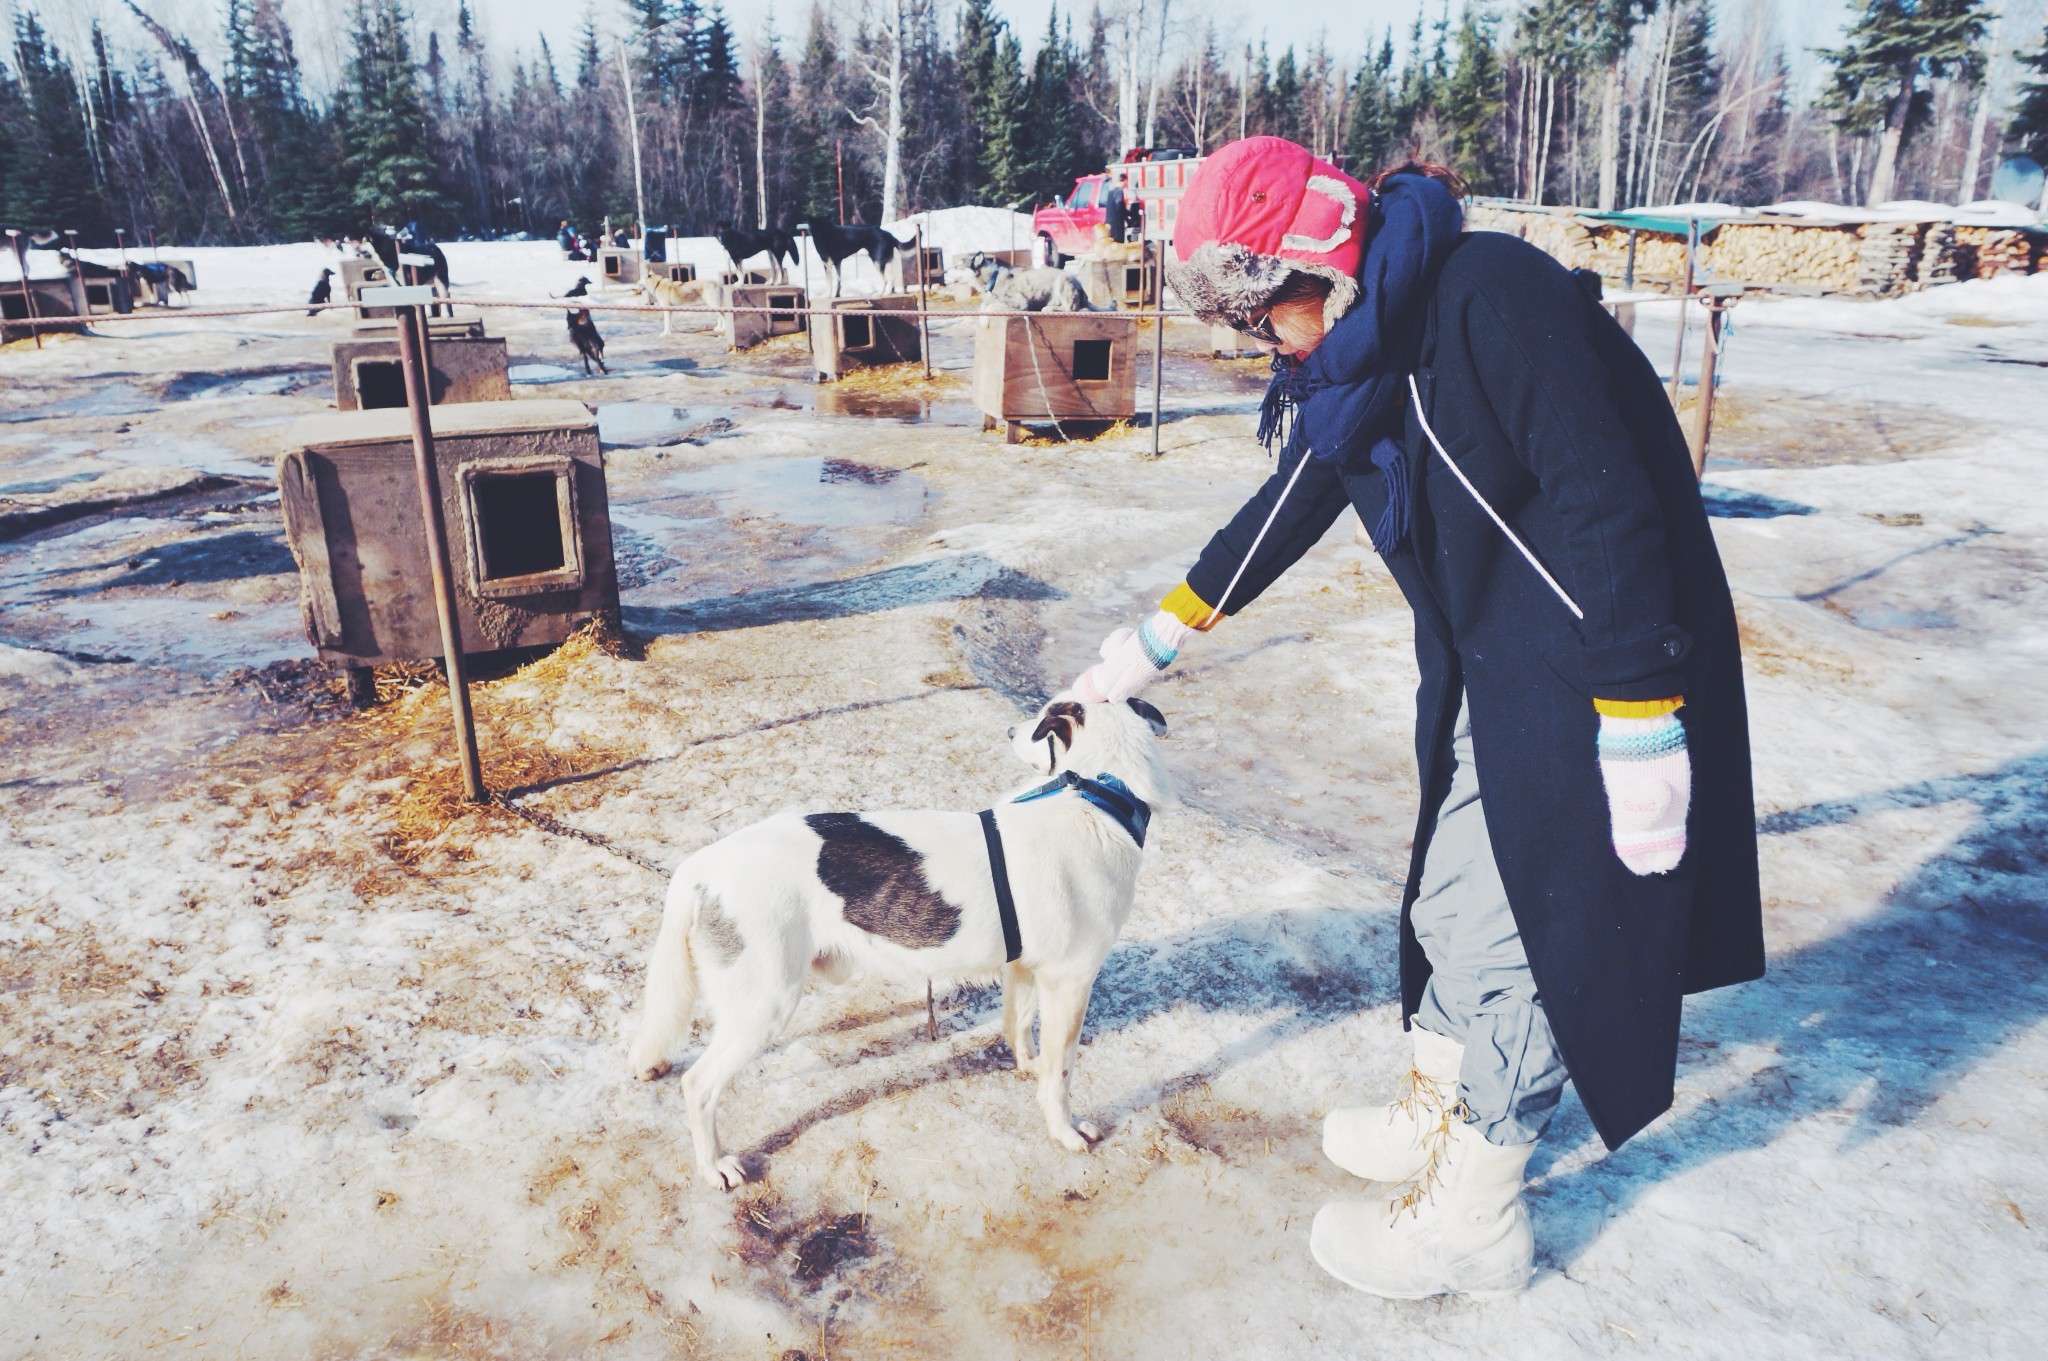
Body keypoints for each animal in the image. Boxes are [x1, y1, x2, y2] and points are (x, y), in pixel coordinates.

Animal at [626, 695, 1171, 1187]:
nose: (1012, 730)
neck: (1097, 796)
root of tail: (704, 863)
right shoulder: (1071, 981)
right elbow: (1060, 1076)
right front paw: (1064, 1130)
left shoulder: (1026, 970)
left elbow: (1020, 1026)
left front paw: (1027, 1068)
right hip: (766, 1003)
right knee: (699, 1085)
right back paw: (713, 1165)